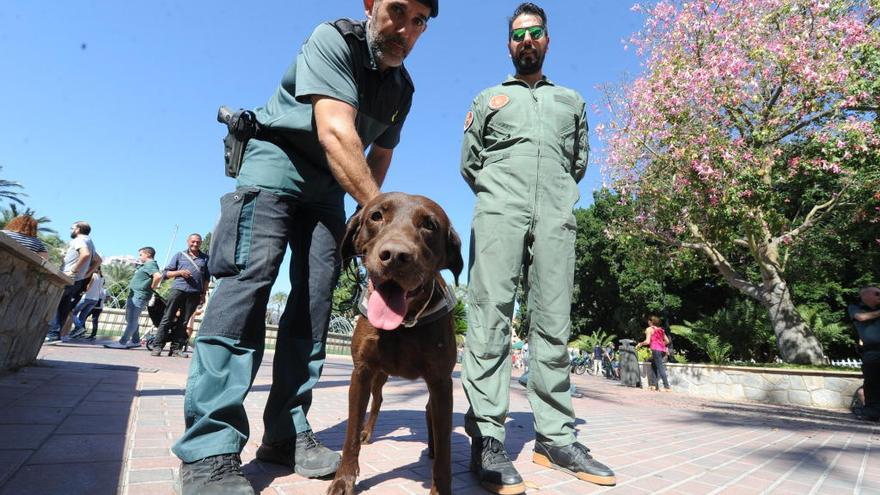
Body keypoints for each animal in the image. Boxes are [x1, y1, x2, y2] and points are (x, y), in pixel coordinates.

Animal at [326, 193, 464, 495]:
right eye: (376, 216)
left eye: (430, 225)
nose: (396, 256)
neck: (403, 324)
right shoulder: (361, 372)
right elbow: (350, 433)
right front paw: (344, 479)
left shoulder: (441, 381)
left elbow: (446, 449)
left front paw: (440, 485)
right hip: (379, 375)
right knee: (377, 400)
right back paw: (367, 432)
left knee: (429, 412)